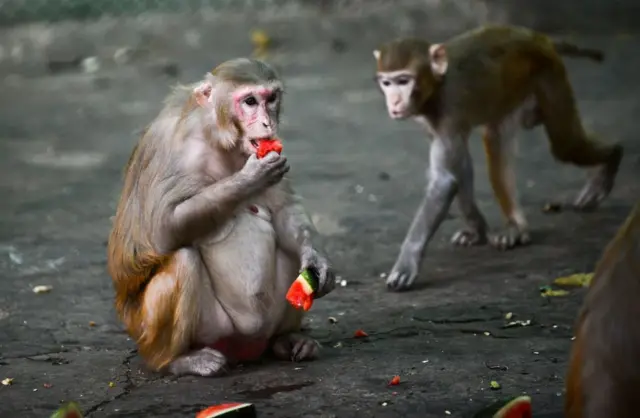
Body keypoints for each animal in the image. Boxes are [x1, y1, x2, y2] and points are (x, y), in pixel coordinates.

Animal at [106, 58, 336, 377]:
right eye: (250, 101)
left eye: (271, 98)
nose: (268, 123)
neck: (216, 136)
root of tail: (246, 349)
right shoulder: (176, 149)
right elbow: (163, 229)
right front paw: (250, 179)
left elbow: (284, 210)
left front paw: (317, 260)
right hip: (198, 330)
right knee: (183, 259)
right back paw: (177, 360)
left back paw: (286, 340)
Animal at [372, 24, 624, 291]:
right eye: (387, 83)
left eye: (403, 81)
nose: (394, 102)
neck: (435, 88)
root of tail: (537, 38)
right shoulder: (433, 123)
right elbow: (460, 169)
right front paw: (477, 230)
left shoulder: (449, 110)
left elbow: (444, 180)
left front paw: (406, 263)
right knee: (497, 139)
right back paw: (517, 228)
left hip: (549, 75)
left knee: (565, 145)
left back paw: (612, 159)